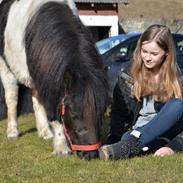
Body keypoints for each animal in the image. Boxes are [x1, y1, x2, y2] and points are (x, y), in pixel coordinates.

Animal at [0, 0, 108, 159]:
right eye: (74, 113)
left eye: (101, 110)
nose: (91, 155)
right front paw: (61, 148)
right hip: (6, 68)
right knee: (12, 98)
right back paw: (13, 132)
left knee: (36, 100)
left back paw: (45, 132)